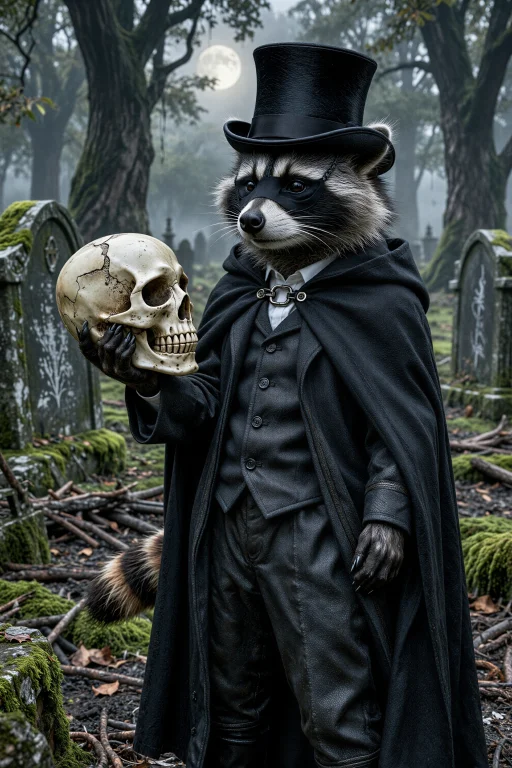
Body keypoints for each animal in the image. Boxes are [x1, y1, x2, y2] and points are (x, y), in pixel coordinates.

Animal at [85, 123, 395, 624]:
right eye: (248, 184)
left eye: (295, 185)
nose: (249, 220)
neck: (289, 282)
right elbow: (207, 398)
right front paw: (145, 381)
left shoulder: (382, 326)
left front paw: (385, 530)